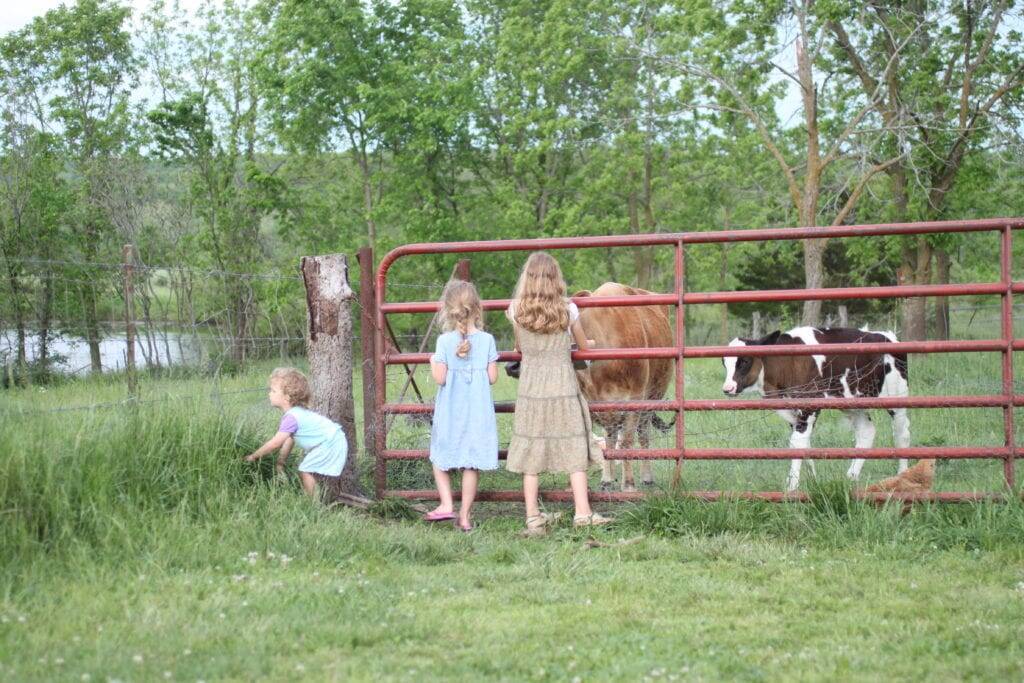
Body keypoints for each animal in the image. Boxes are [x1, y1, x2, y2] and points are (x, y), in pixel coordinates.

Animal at [573, 282, 675, 491]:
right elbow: (603, 442)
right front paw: (606, 480)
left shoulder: (634, 400)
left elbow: (627, 441)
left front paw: (628, 484)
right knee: (612, 437)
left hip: (650, 400)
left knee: (643, 436)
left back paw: (646, 476)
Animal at [720, 325, 913, 491]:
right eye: (724, 363)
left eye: (745, 361)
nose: (728, 388)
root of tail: (888, 336)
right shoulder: (793, 413)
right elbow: (803, 444)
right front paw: (813, 481)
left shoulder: (809, 406)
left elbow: (797, 443)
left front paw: (792, 488)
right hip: (852, 402)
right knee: (867, 431)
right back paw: (850, 477)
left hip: (896, 396)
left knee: (902, 433)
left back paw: (902, 475)